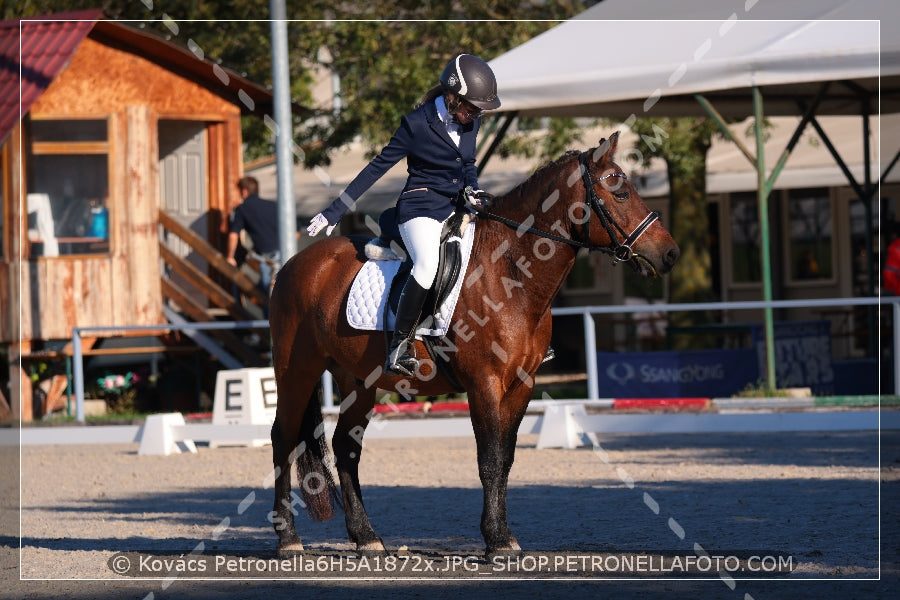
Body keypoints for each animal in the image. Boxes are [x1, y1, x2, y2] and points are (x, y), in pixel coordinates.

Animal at [270, 134, 680, 556]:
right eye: (619, 192)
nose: (670, 254)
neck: (511, 272)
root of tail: (295, 264)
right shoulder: (483, 383)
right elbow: (489, 458)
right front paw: (497, 540)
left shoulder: (521, 385)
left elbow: (506, 458)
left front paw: (502, 535)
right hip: (296, 370)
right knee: (283, 440)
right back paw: (289, 538)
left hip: (359, 381)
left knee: (345, 448)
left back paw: (366, 537)